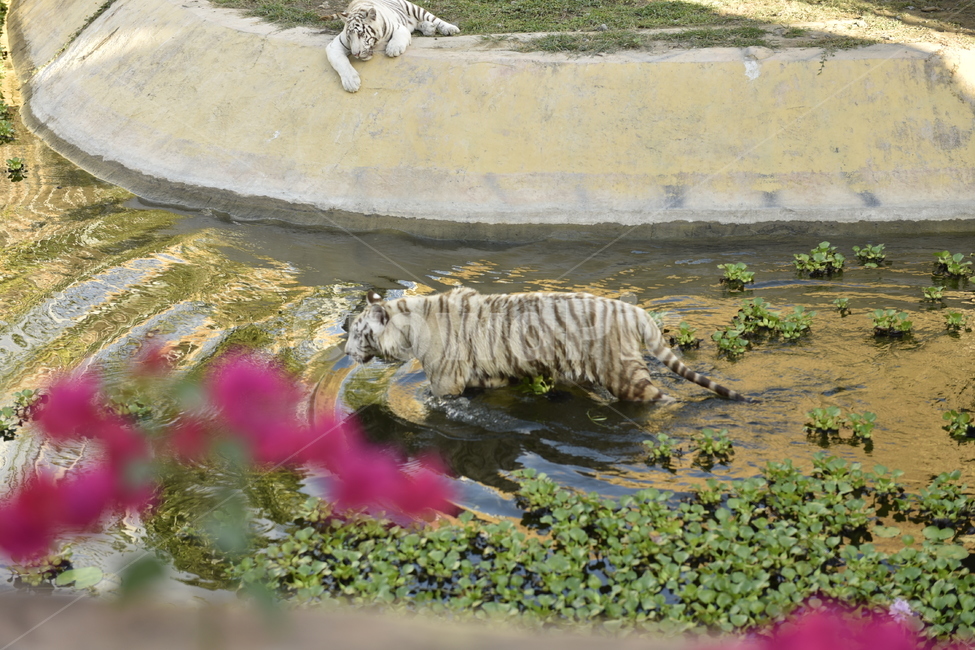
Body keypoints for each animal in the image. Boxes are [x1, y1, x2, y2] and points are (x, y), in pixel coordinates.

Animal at [321, 0, 460, 93]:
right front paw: (351, 82)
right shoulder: (334, 46)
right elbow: (341, 63)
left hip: (414, 8)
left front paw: (393, 49)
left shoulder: (399, 27)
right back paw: (429, 29)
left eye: (361, 34)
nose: (355, 54)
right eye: (350, 37)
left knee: (435, 19)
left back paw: (449, 28)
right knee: (418, 24)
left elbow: (397, 38)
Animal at [345, 288, 749, 404]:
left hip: (623, 372)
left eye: (357, 331)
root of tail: (634, 310)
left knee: (659, 396)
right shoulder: (493, 372)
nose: (345, 353)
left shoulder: (446, 382)